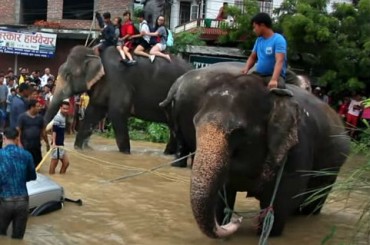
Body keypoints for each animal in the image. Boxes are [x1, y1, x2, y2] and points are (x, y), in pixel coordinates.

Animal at [44, 45, 192, 153]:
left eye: (68, 75)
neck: (95, 53)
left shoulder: (118, 81)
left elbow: (117, 113)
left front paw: (126, 153)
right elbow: (93, 113)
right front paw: (79, 149)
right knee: (173, 127)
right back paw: (169, 154)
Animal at [165, 62, 350, 238]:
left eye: (239, 131)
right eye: (195, 123)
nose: (237, 219)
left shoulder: (297, 149)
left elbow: (278, 205)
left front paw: (264, 231)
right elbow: (222, 196)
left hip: (332, 169)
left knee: (313, 202)